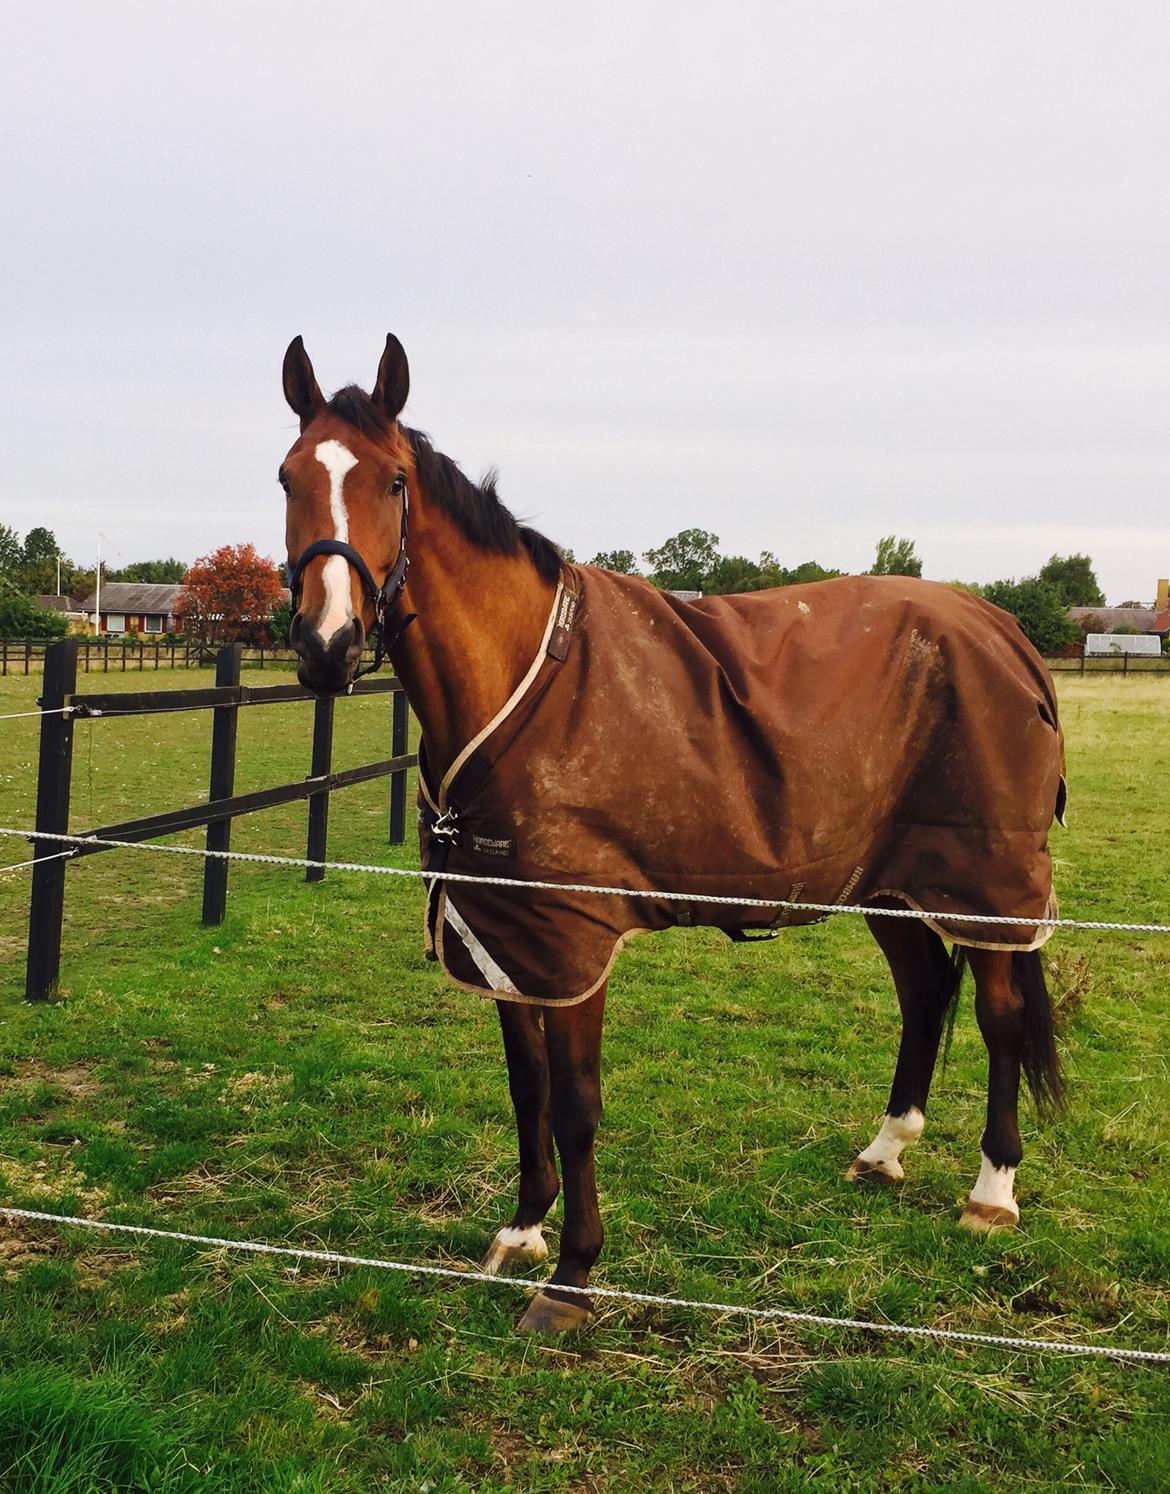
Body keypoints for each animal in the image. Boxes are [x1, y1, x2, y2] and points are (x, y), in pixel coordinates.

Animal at [279, 333, 1063, 1338]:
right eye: (288, 477)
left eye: (392, 481)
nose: (327, 646)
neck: (533, 674)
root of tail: (1003, 627)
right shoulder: (506, 932)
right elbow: (527, 1088)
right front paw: (522, 1232)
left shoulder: (574, 940)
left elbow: (576, 1104)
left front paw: (572, 1278)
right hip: (890, 884)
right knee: (925, 994)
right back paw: (886, 1150)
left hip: (986, 884)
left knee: (1001, 1016)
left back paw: (992, 1193)